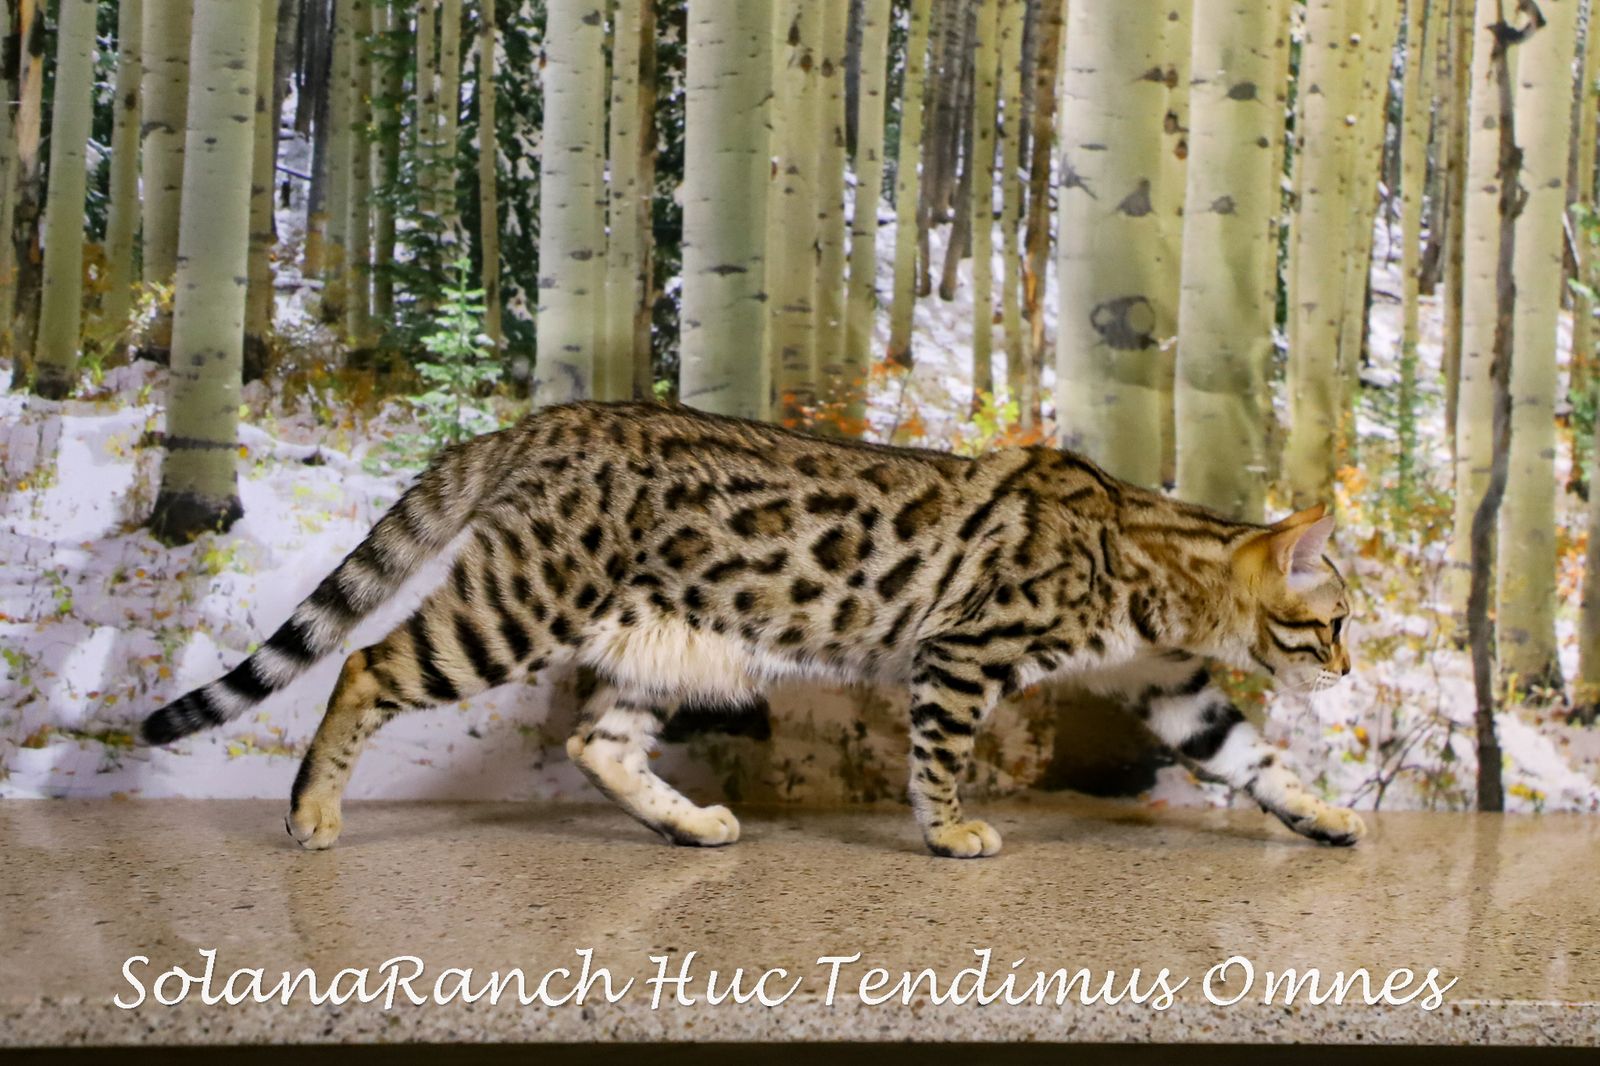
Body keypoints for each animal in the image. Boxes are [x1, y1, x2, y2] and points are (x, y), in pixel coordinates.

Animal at [143, 401, 1363, 857]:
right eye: (1334, 623)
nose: (1351, 666)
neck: (1151, 557)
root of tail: (543, 418)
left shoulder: (1168, 682)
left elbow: (1251, 758)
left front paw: (1321, 814)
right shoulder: (962, 651)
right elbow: (939, 758)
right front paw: (949, 832)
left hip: (666, 641)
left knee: (595, 740)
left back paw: (687, 825)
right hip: (516, 606)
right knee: (363, 662)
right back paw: (311, 809)